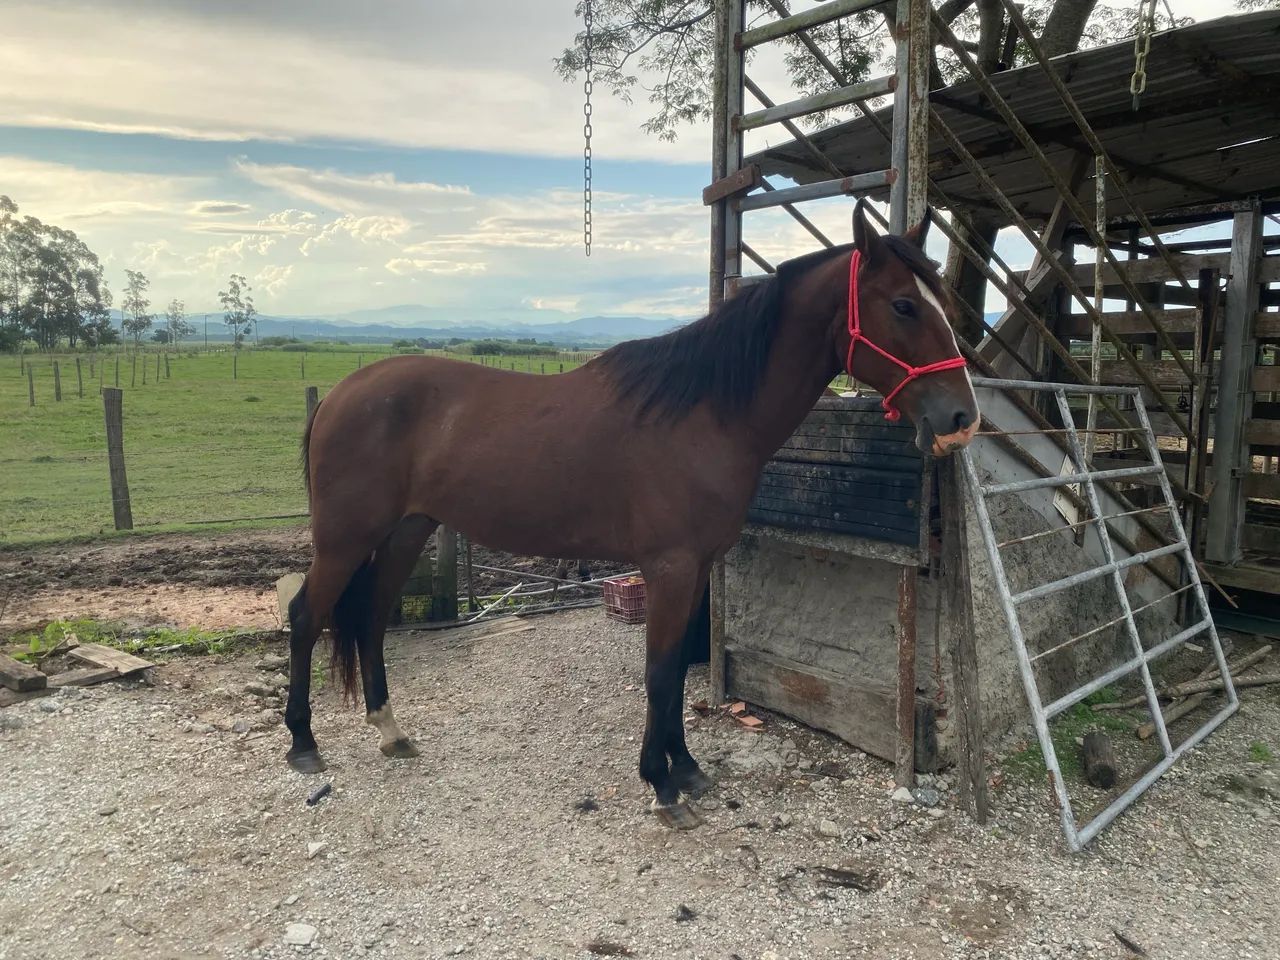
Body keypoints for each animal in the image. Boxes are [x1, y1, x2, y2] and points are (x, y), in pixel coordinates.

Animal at [285, 202, 980, 829]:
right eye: (903, 305)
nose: (962, 417)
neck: (704, 413)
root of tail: (341, 394)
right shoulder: (669, 568)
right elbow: (659, 673)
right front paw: (661, 785)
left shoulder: (695, 569)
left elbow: (671, 674)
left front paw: (686, 768)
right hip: (345, 539)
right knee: (307, 616)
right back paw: (303, 744)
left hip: (407, 531)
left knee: (371, 618)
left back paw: (390, 731)